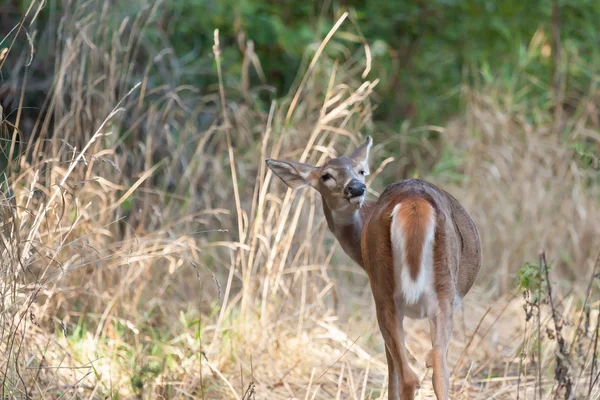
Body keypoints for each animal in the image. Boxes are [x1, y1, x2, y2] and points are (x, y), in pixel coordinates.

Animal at [264, 136, 480, 398]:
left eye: (361, 171)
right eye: (326, 175)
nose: (356, 188)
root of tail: (413, 201)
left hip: (392, 293)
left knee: (419, 372)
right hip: (428, 292)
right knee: (429, 370)